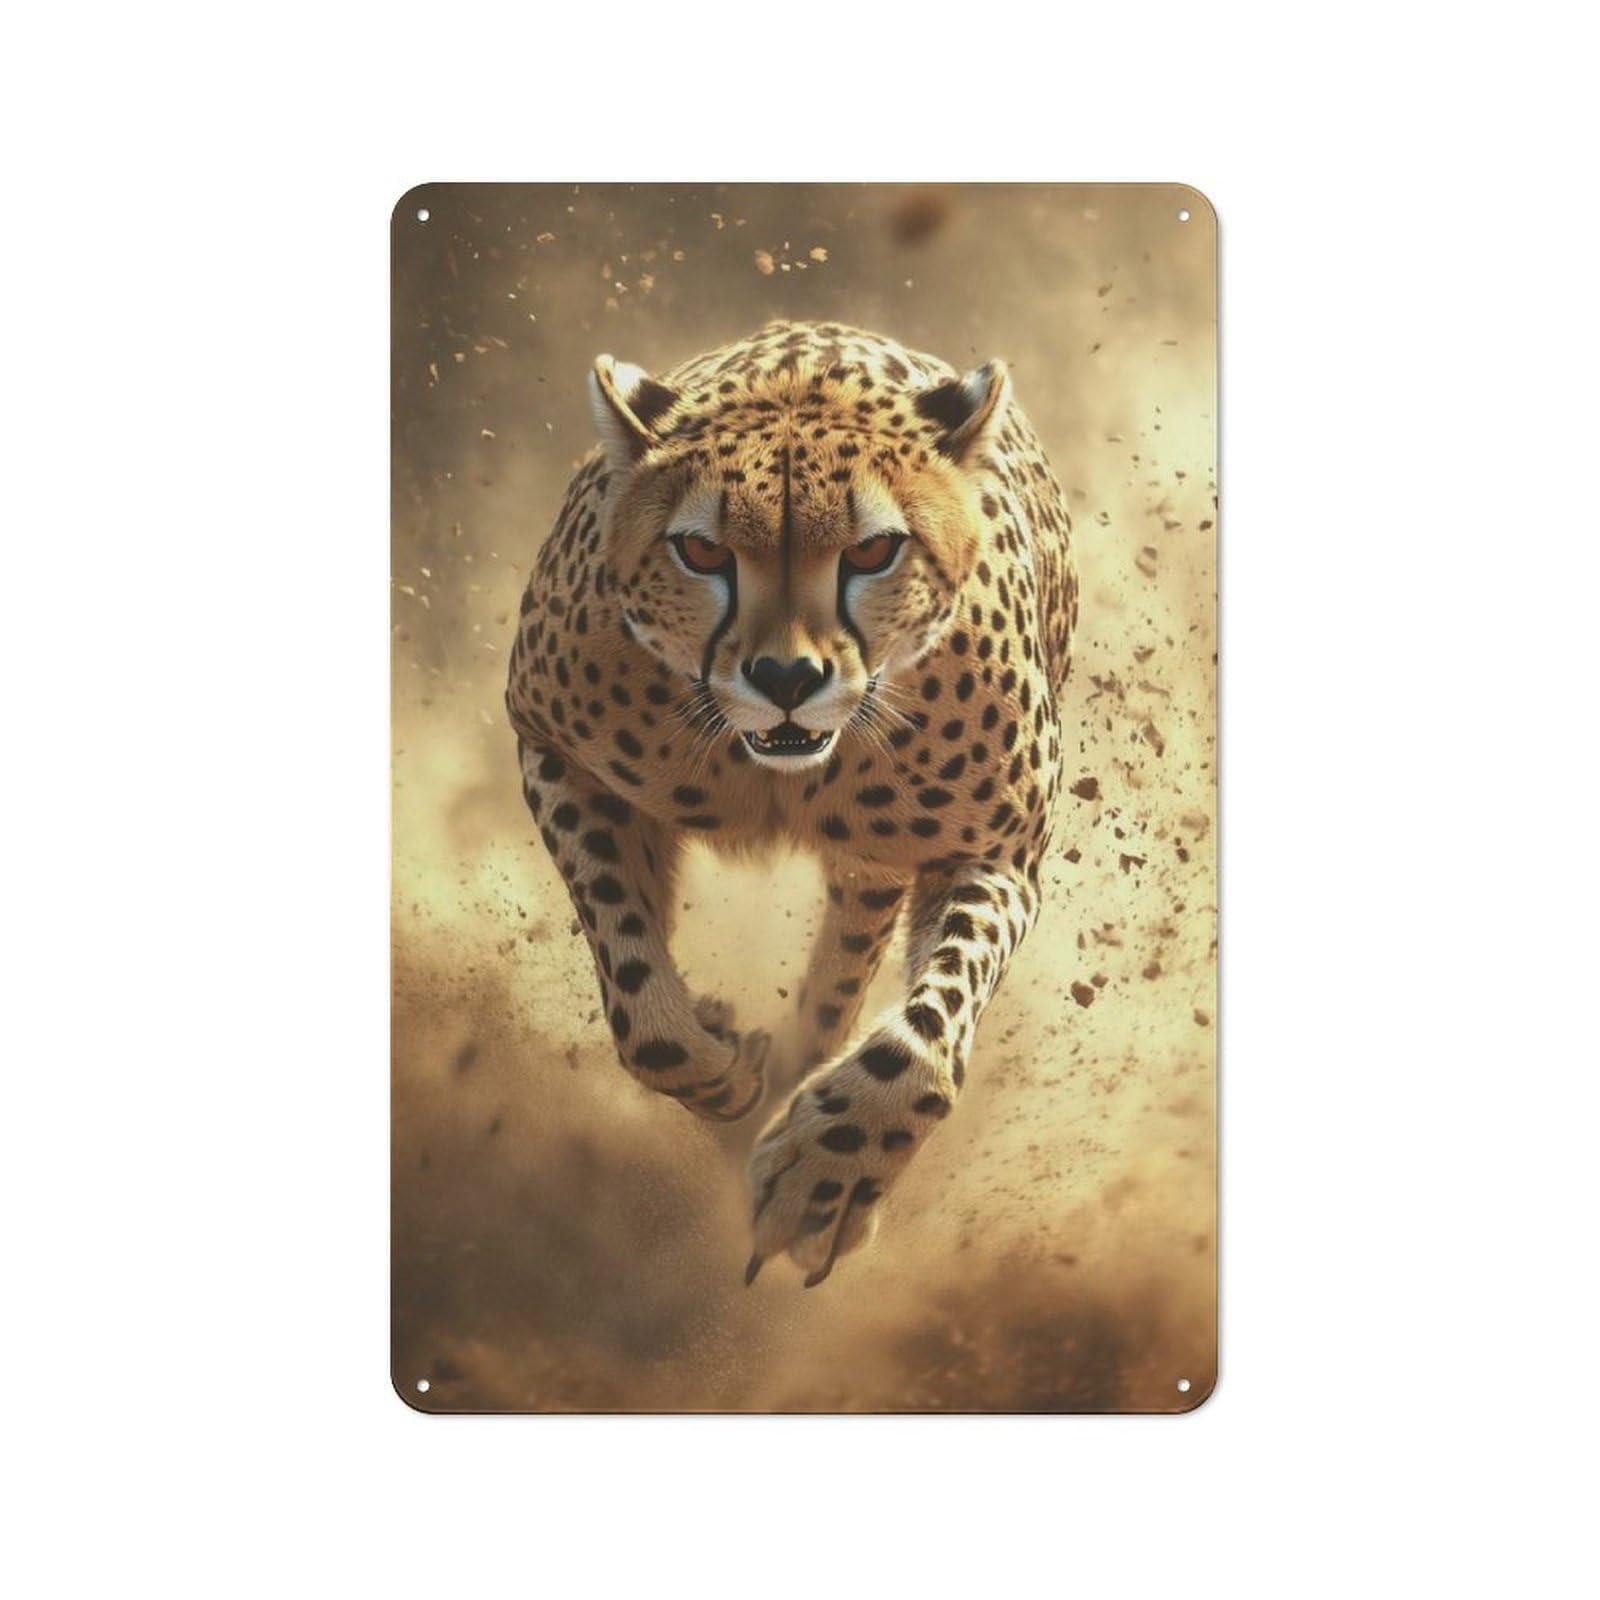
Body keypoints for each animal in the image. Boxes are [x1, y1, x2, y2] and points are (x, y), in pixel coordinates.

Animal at [506, 320, 1078, 1287]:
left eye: (873, 551)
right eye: (701, 552)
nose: (784, 678)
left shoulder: (997, 850)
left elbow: (927, 1035)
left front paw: (826, 1171)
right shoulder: (552, 746)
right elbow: (635, 990)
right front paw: (715, 1056)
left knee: (842, 981)